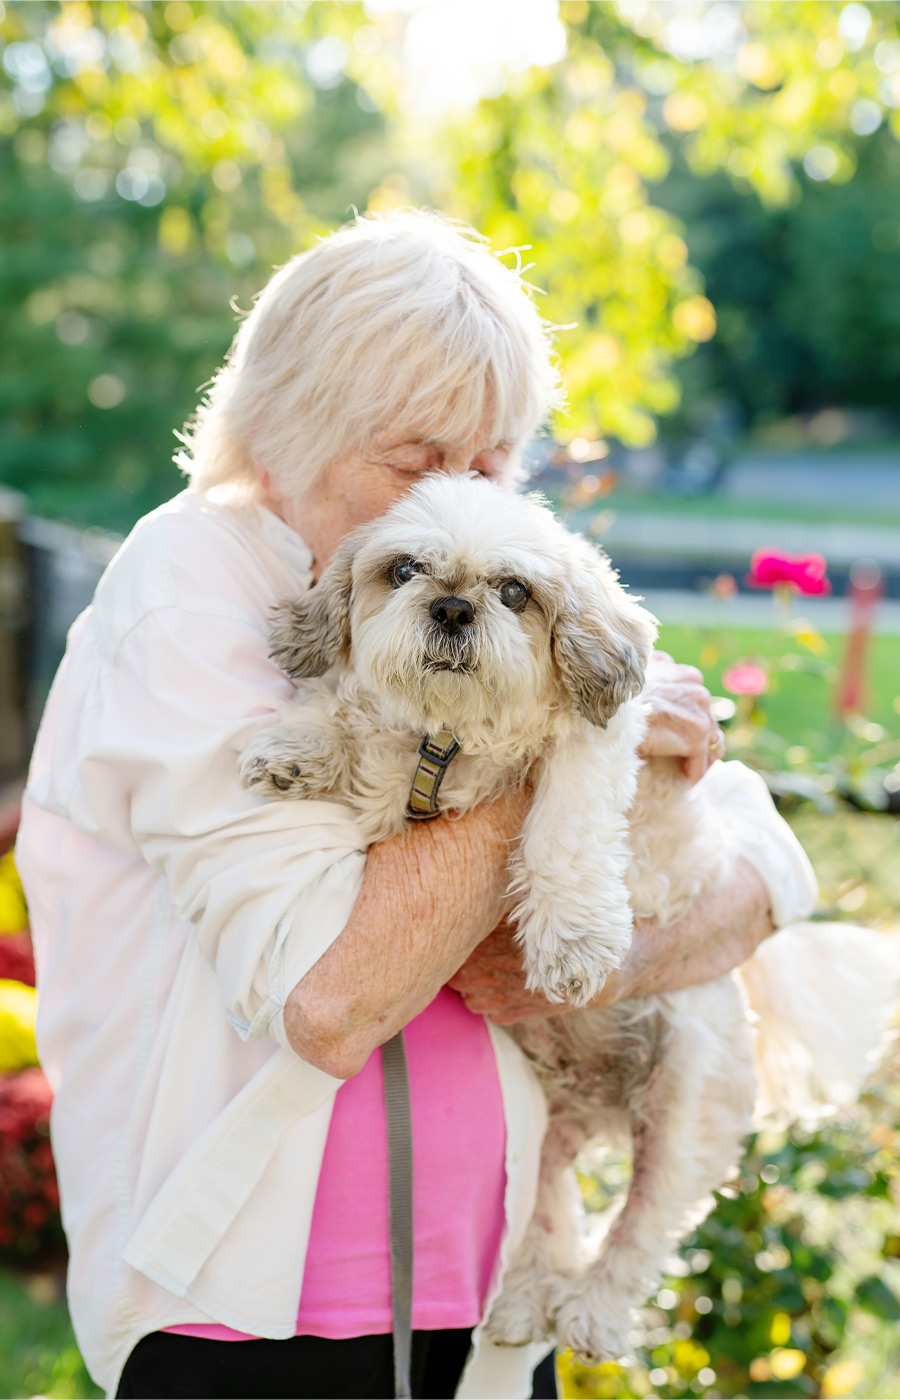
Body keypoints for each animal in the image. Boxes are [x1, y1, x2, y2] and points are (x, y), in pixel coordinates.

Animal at [239, 476, 895, 1360]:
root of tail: (604, 1107)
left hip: (687, 1096)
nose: (452, 607)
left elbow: (563, 821)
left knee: (647, 1222)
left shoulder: (598, 748)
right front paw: (300, 748)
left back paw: (592, 1313)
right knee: (547, 1207)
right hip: (548, 1126)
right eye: (405, 570)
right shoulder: (391, 777)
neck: (452, 738)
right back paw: (523, 1299)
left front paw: (572, 940)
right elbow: (345, 714)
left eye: (515, 592)